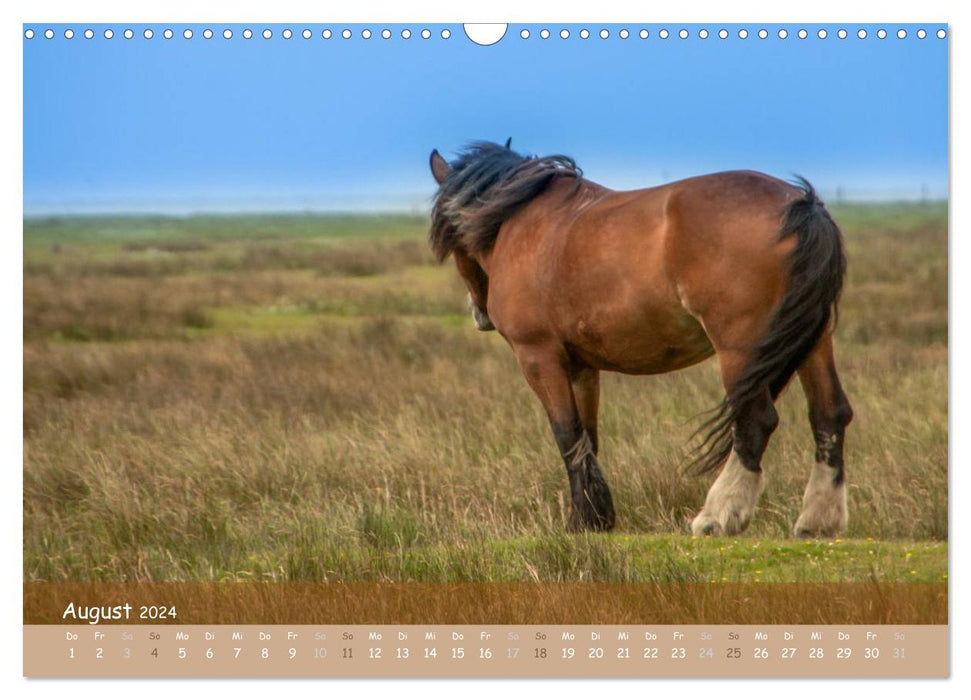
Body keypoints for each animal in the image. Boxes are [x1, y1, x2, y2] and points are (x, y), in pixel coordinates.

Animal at [426, 141, 852, 536]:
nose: (479, 312)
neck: (521, 221)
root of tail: (802, 204)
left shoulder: (539, 358)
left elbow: (566, 434)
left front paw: (583, 520)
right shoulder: (581, 368)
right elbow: (587, 438)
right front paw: (595, 517)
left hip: (738, 348)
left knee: (754, 421)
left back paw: (717, 516)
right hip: (814, 341)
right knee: (829, 414)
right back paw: (818, 521)